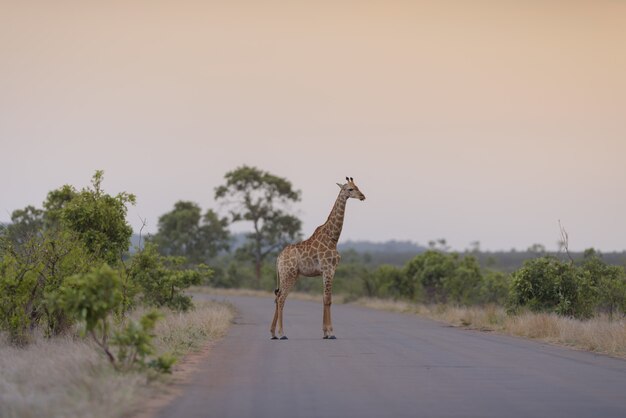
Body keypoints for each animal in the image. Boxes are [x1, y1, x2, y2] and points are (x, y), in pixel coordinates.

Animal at [270, 176, 366, 340]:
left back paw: (272, 333)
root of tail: (278, 258)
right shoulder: (329, 269)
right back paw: (282, 334)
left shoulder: (327, 271)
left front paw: (325, 332)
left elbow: (324, 298)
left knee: (277, 297)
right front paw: (331, 333)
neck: (333, 237)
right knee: (282, 298)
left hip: (286, 275)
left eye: (358, 187)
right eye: (350, 189)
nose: (362, 196)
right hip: (289, 274)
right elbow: (328, 299)